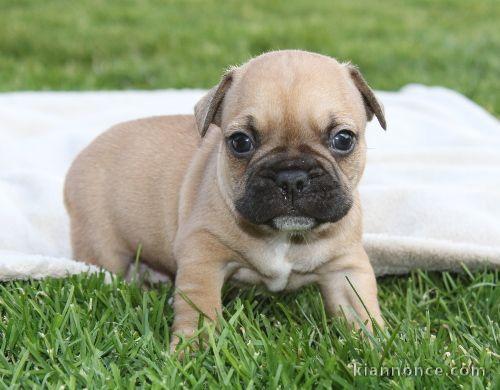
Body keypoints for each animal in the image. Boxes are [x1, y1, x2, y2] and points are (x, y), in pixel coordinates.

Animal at [64, 49, 386, 350]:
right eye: (241, 142)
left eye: (343, 139)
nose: (291, 177)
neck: (284, 238)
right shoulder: (202, 254)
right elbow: (200, 306)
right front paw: (194, 349)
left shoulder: (345, 265)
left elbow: (360, 309)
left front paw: (376, 345)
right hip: (102, 245)